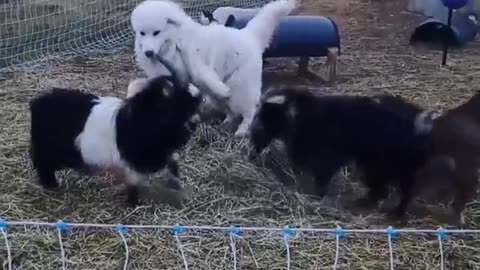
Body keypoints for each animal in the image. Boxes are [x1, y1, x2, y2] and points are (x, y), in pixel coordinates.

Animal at [130, 0, 296, 137]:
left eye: (156, 32)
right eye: (142, 33)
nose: (148, 53)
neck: (173, 39)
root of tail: (249, 35)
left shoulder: (195, 60)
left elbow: (203, 74)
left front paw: (221, 89)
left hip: (240, 88)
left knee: (249, 110)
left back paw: (242, 129)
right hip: (218, 98)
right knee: (230, 110)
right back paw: (227, 122)